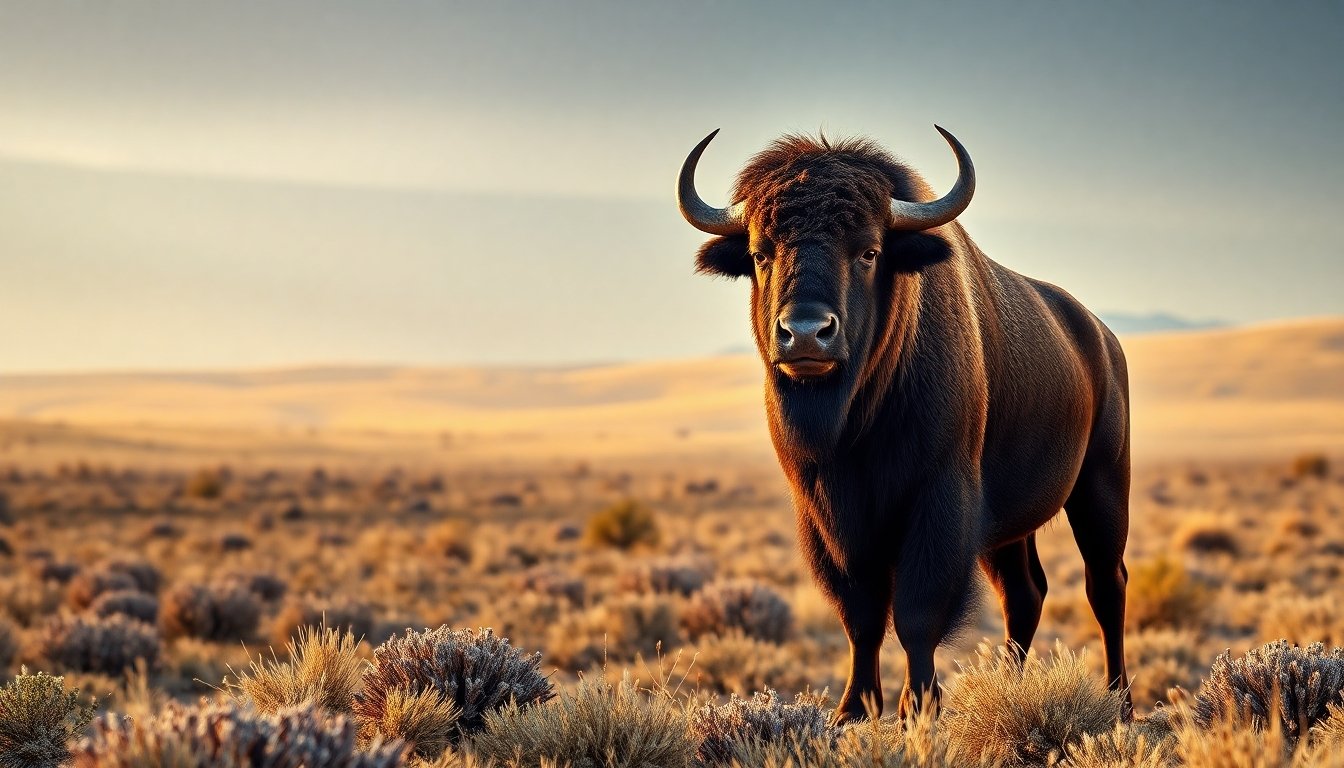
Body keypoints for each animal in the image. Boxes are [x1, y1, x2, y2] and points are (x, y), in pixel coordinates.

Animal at [677, 127, 1131, 723]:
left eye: (869, 252)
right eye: (759, 253)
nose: (806, 333)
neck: (858, 425)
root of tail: (1100, 338)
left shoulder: (938, 501)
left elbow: (917, 614)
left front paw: (917, 706)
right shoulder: (827, 516)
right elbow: (861, 615)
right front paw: (853, 708)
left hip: (1101, 489)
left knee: (1106, 587)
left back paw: (1120, 699)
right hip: (1009, 530)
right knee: (1025, 595)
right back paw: (1010, 686)